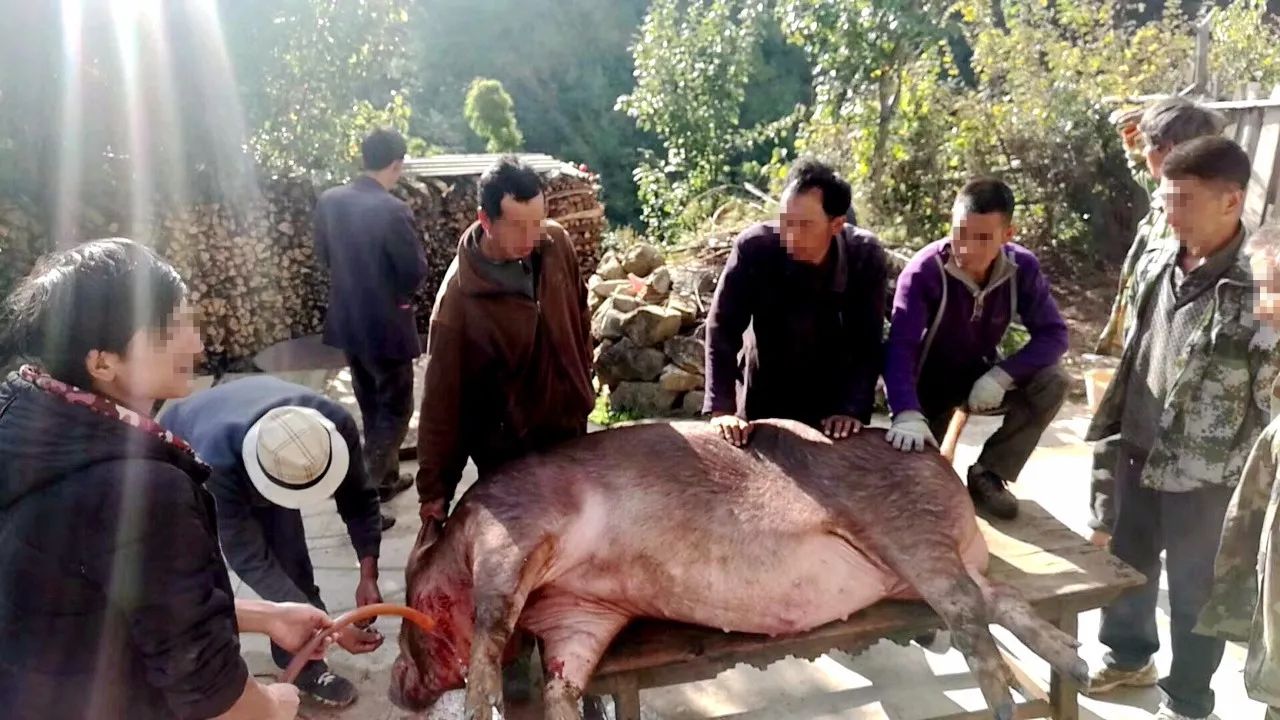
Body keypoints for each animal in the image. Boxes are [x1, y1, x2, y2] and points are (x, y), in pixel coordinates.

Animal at [386, 417, 1080, 712]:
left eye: (408, 604)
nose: (394, 686)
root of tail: (939, 461)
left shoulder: (514, 532)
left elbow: (490, 628)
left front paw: (480, 707)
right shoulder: (581, 616)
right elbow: (563, 684)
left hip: (907, 528)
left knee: (966, 608)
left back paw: (1006, 703)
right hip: (909, 574)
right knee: (996, 597)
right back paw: (1078, 666)